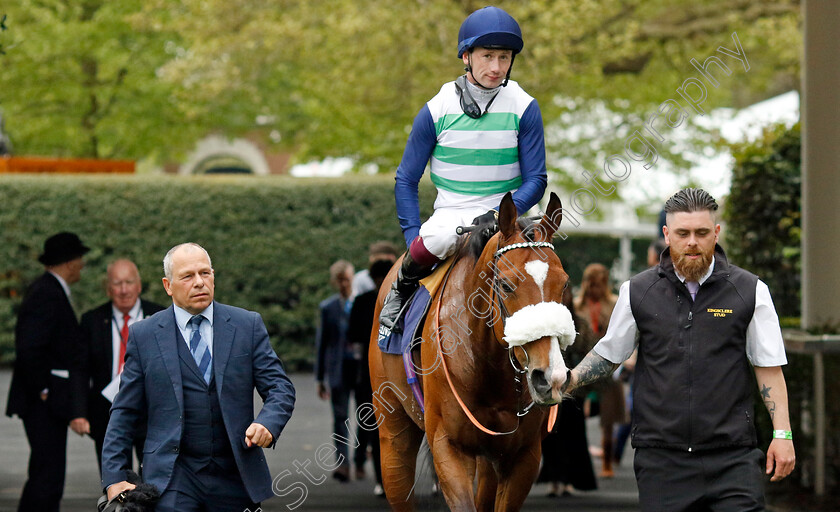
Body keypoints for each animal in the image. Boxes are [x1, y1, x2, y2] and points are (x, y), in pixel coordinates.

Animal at [370, 193, 576, 512]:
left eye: (563, 282)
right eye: (505, 284)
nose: (549, 376)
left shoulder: (523, 454)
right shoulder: (449, 446)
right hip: (393, 429)